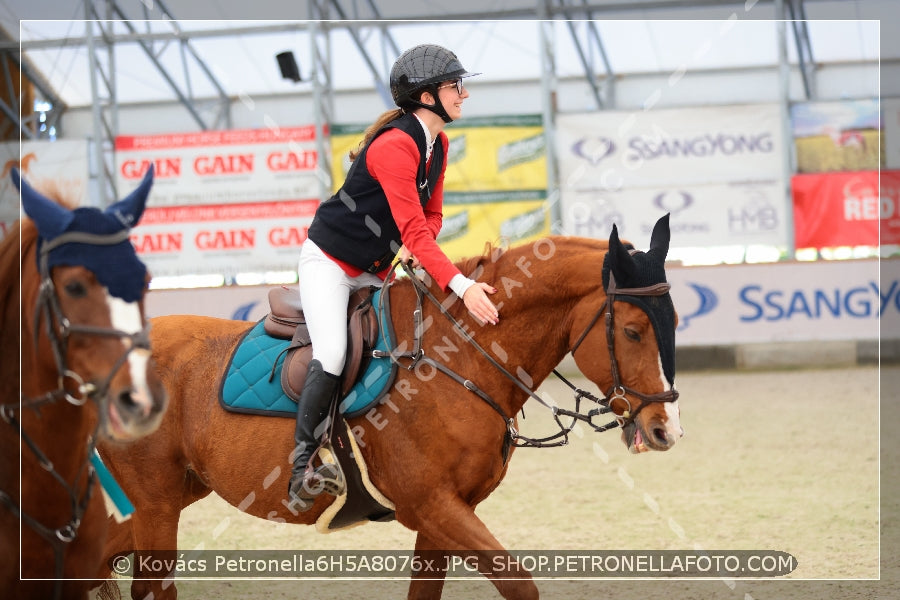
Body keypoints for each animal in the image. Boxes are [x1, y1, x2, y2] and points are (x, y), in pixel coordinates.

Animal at [95, 213, 680, 596]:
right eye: (632, 331)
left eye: (673, 322)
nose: (665, 430)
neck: (459, 357)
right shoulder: (432, 505)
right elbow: (520, 586)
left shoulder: (446, 515)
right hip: (156, 503)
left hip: (171, 496)